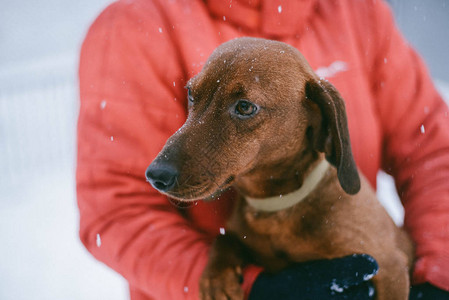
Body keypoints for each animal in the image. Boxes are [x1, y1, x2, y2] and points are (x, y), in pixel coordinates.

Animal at [146, 37, 412, 300]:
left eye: (245, 107)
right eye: (191, 93)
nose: (155, 175)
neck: (275, 209)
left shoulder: (389, 267)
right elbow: (224, 239)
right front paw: (216, 279)